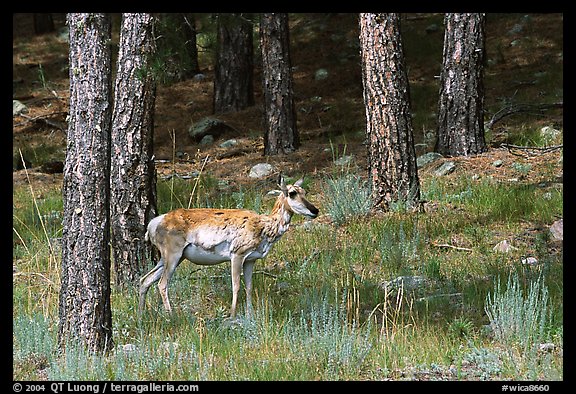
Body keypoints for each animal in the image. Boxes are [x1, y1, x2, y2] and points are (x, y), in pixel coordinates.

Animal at [140, 174, 320, 318]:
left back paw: (142, 316)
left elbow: (249, 286)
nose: (315, 210)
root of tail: (153, 224)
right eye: (292, 193)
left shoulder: (251, 260)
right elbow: (236, 286)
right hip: (173, 254)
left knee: (145, 280)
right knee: (162, 283)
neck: (265, 227)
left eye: (304, 192)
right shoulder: (237, 254)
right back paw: (171, 316)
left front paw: (249, 313)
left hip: (171, 257)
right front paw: (232, 314)